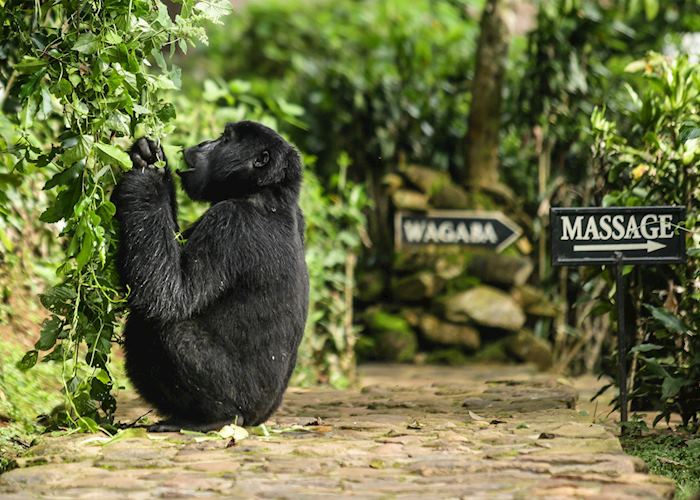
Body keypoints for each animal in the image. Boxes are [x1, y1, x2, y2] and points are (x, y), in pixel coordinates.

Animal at [113, 120, 308, 430]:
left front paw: (147, 178)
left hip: (241, 398)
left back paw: (216, 418)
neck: (266, 191)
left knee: (166, 330)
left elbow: (169, 294)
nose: (204, 143)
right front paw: (150, 156)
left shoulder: (229, 224)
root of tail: (260, 418)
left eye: (225, 139)